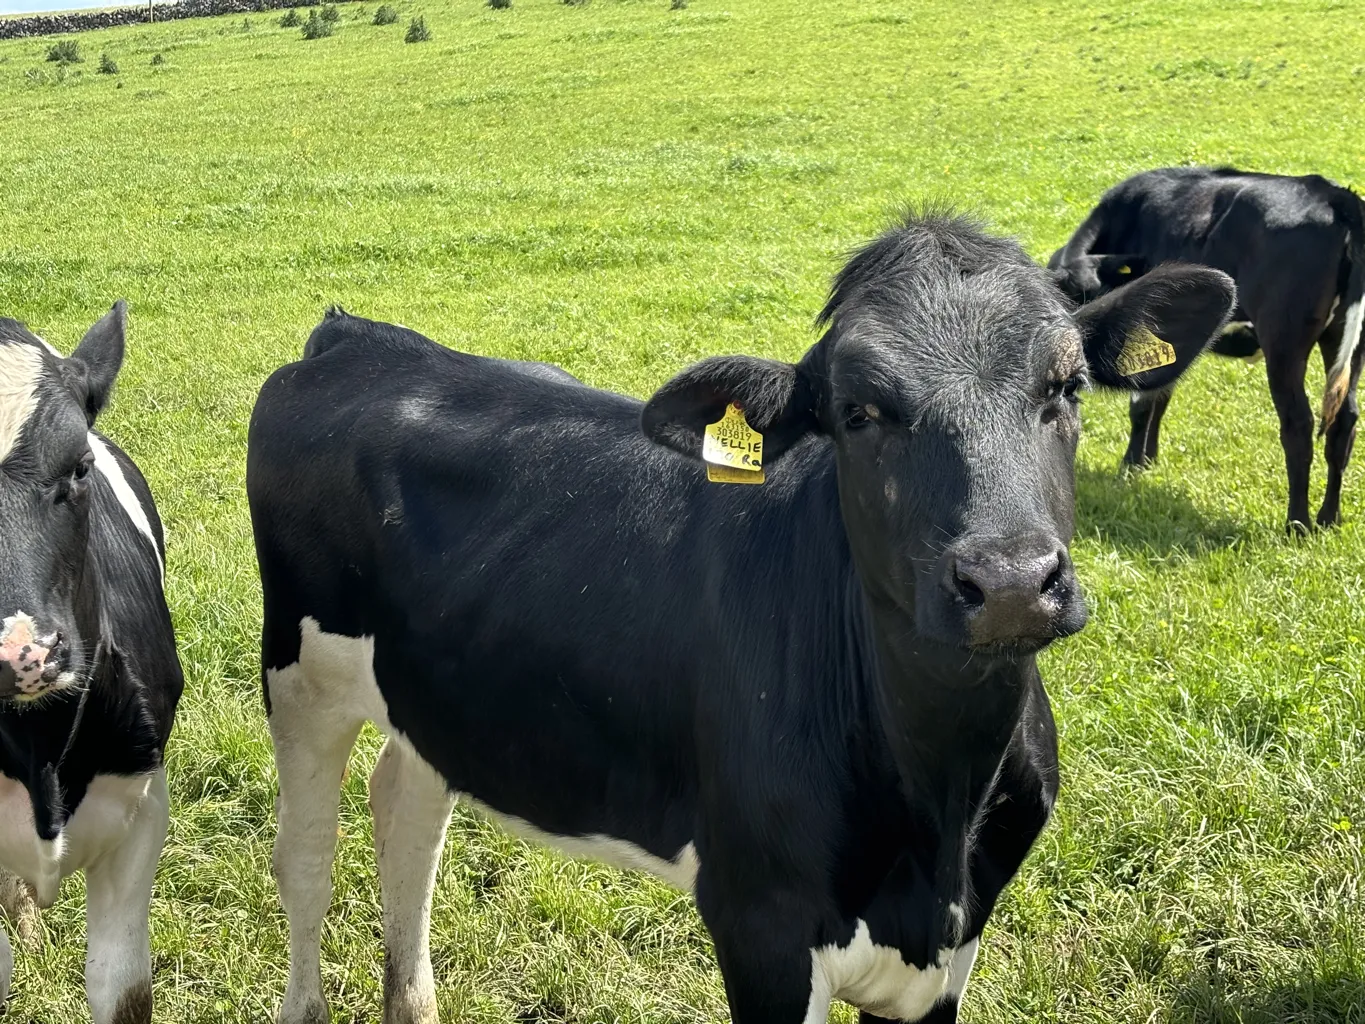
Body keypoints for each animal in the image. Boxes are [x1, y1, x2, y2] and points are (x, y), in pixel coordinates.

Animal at [248, 214, 1239, 1024]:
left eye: (1065, 388)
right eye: (857, 413)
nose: (1008, 581)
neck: (938, 804)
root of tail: (357, 335)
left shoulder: (952, 946)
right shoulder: (758, 924)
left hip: (438, 695)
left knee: (407, 813)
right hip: (299, 674)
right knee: (305, 860)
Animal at [1042, 164, 1365, 532]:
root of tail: (1334, 195)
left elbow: (1142, 405)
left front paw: (1129, 466)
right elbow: (1160, 397)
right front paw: (1147, 460)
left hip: (1284, 343)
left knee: (1298, 425)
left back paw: (1297, 523)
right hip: (1347, 344)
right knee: (1344, 422)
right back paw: (1329, 518)